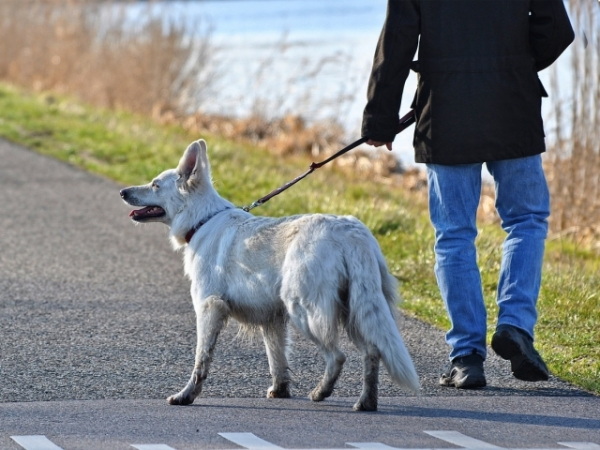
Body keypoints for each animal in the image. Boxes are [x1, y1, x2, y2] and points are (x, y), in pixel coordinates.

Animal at [119, 141, 420, 412]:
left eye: (155, 185)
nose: (122, 191)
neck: (202, 220)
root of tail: (351, 232)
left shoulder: (209, 308)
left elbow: (201, 360)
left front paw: (186, 396)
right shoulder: (272, 319)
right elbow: (277, 360)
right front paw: (280, 390)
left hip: (305, 311)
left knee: (338, 356)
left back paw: (321, 392)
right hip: (355, 311)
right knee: (372, 352)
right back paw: (366, 402)